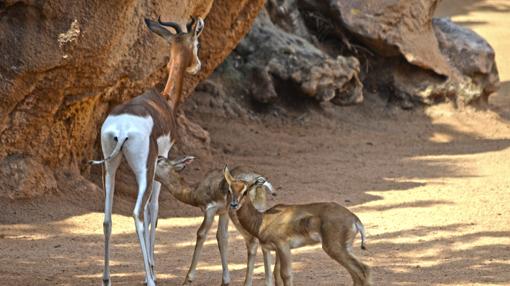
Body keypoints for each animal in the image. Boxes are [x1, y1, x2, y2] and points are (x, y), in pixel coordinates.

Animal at [155, 156, 274, 286]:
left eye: (159, 160)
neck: (195, 191)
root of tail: (258, 181)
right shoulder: (223, 213)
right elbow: (222, 237)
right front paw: (225, 281)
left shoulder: (210, 210)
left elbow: (201, 234)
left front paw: (188, 280)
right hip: (257, 210)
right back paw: (269, 282)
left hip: (236, 213)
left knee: (251, 241)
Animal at [224, 166, 370, 284]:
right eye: (230, 190)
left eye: (245, 191)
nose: (234, 204)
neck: (262, 220)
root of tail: (354, 218)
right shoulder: (271, 249)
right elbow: (274, 276)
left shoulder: (283, 246)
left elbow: (286, 275)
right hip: (346, 248)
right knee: (357, 274)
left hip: (334, 248)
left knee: (363, 270)